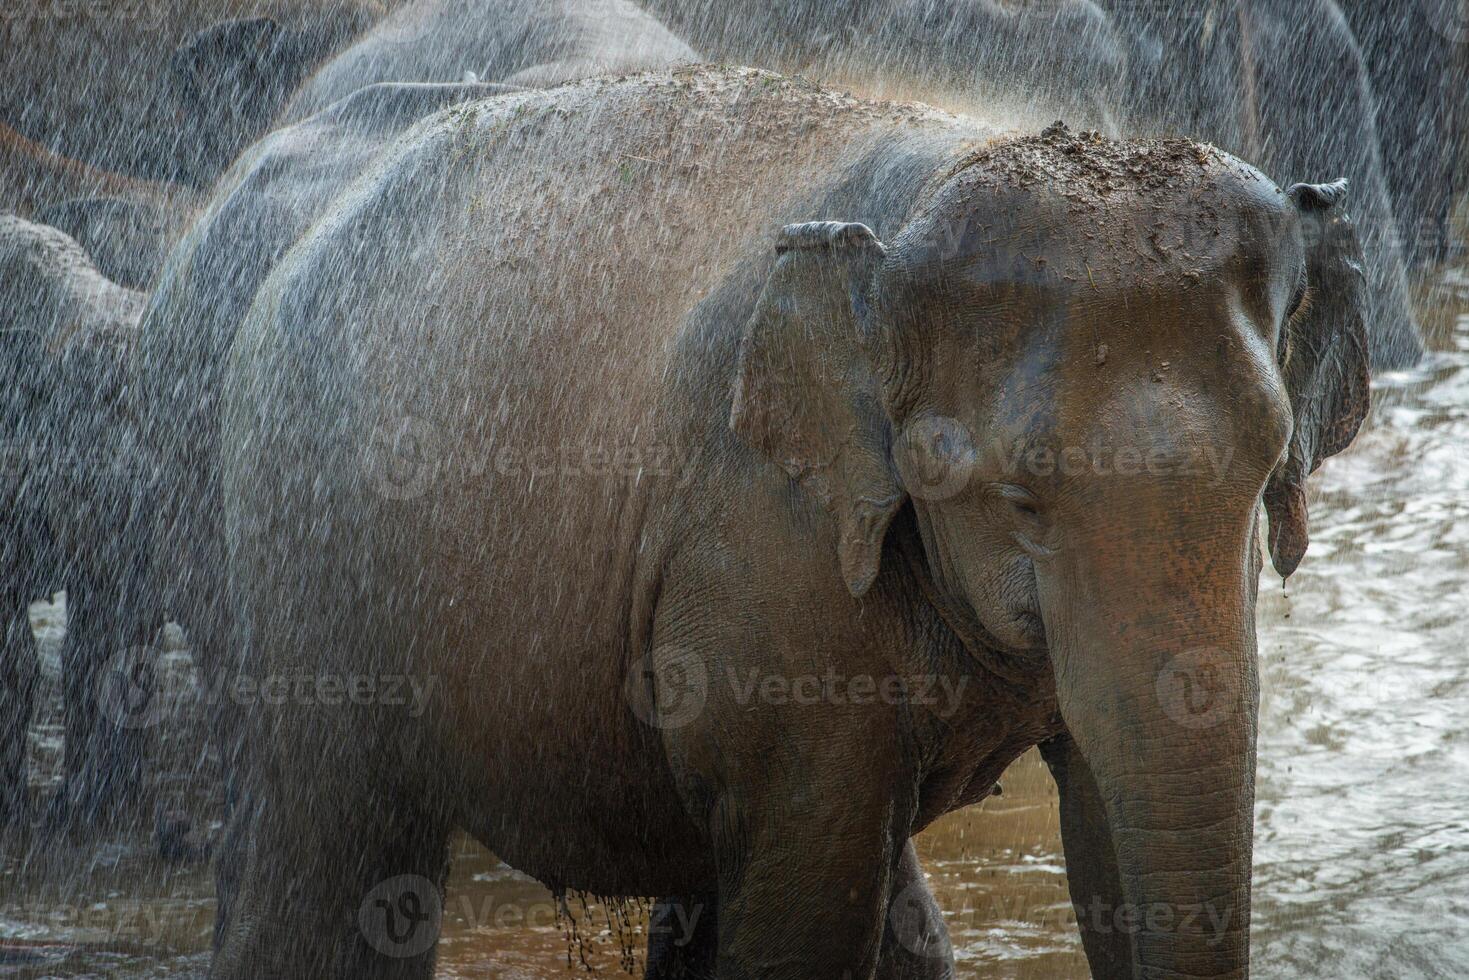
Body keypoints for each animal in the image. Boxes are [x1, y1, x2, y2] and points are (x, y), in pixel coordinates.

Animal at [213, 69, 1369, 980]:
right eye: (1016, 498)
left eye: (1267, 466)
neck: (919, 199)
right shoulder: (769, 540)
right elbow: (813, 888)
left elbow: (1107, 827)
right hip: (301, 555)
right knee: (338, 853)